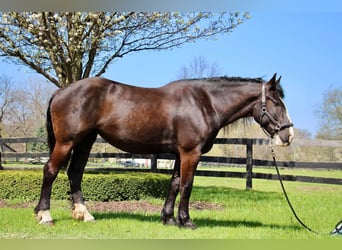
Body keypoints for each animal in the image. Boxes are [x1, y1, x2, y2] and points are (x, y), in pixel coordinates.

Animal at [34, 73, 292, 228]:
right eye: (275, 101)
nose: (287, 136)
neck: (204, 103)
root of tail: (61, 91)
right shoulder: (190, 153)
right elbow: (187, 185)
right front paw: (186, 221)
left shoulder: (180, 154)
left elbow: (175, 184)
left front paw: (168, 218)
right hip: (66, 142)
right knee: (50, 171)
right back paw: (45, 215)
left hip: (85, 142)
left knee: (75, 173)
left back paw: (84, 214)